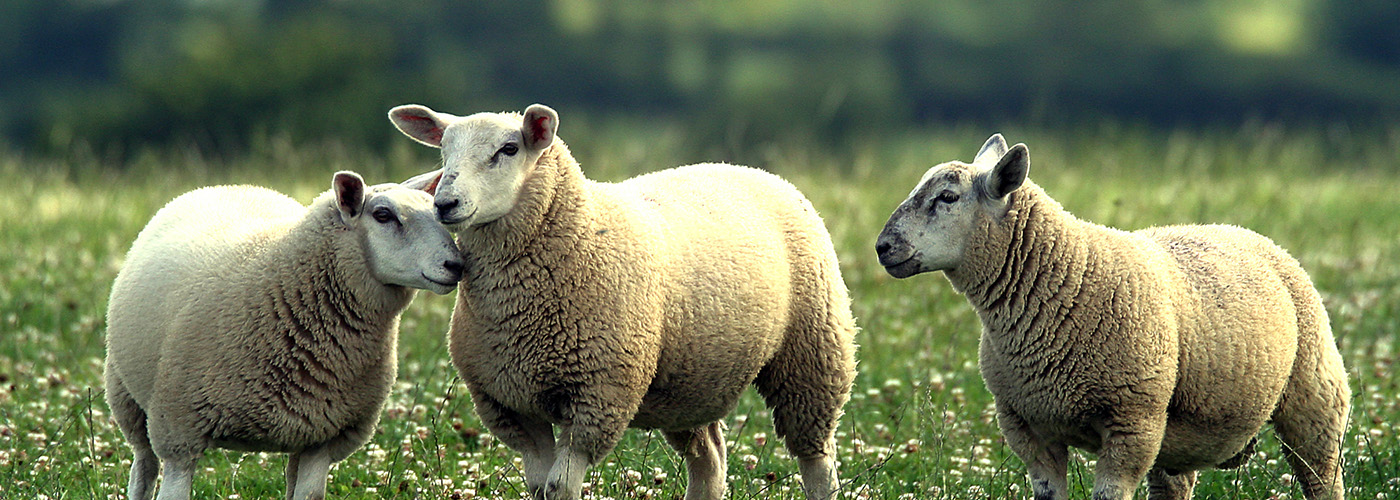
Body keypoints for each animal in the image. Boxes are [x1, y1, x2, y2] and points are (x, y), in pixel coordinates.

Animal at [104, 171, 464, 500]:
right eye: (383, 215)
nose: (456, 265)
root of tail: (231, 185)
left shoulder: (326, 434)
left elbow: (309, 494)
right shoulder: (180, 430)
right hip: (128, 399)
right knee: (144, 468)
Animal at [388, 103, 858, 500]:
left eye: (508, 149)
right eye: (444, 150)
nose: (445, 203)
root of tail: (746, 168)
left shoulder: (599, 394)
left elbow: (559, 488)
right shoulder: (510, 403)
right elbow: (538, 487)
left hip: (813, 349)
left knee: (816, 457)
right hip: (689, 382)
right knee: (710, 459)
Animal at [874, 134, 1351, 500]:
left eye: (947, 197)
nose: (882, 247)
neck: (1065, 280)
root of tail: (1240, 230)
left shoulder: (1132, 423)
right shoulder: (1027, 428)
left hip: (1314, 398)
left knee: (1323, 478)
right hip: (1177, 435)